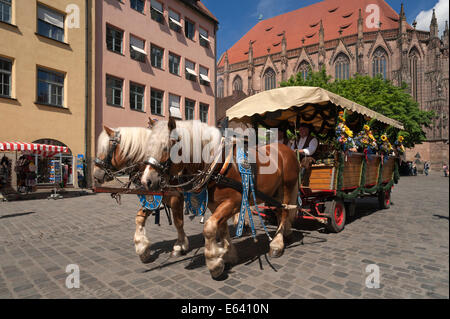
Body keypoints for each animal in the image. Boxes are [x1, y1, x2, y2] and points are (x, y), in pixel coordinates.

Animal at [93, 124, 188, 264]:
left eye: (107, 149)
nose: (95, 174)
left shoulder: (176, 198)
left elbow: (178, 222)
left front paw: (180, 245)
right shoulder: (153, 198)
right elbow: (140, 218)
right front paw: (142, 248)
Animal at [142, 119, 298, 278]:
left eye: (165, 147)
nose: (146, 181)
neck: (218, 166)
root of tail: (286, 149)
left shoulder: (233, 202)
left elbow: (210, 227)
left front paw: (214, 263)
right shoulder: (215, 205)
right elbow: (222, 229)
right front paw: (228, 255)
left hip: (287, 187)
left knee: (284, 212)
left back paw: (277, 244)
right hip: (274, 193)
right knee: (279, 211)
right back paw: (286, 233)